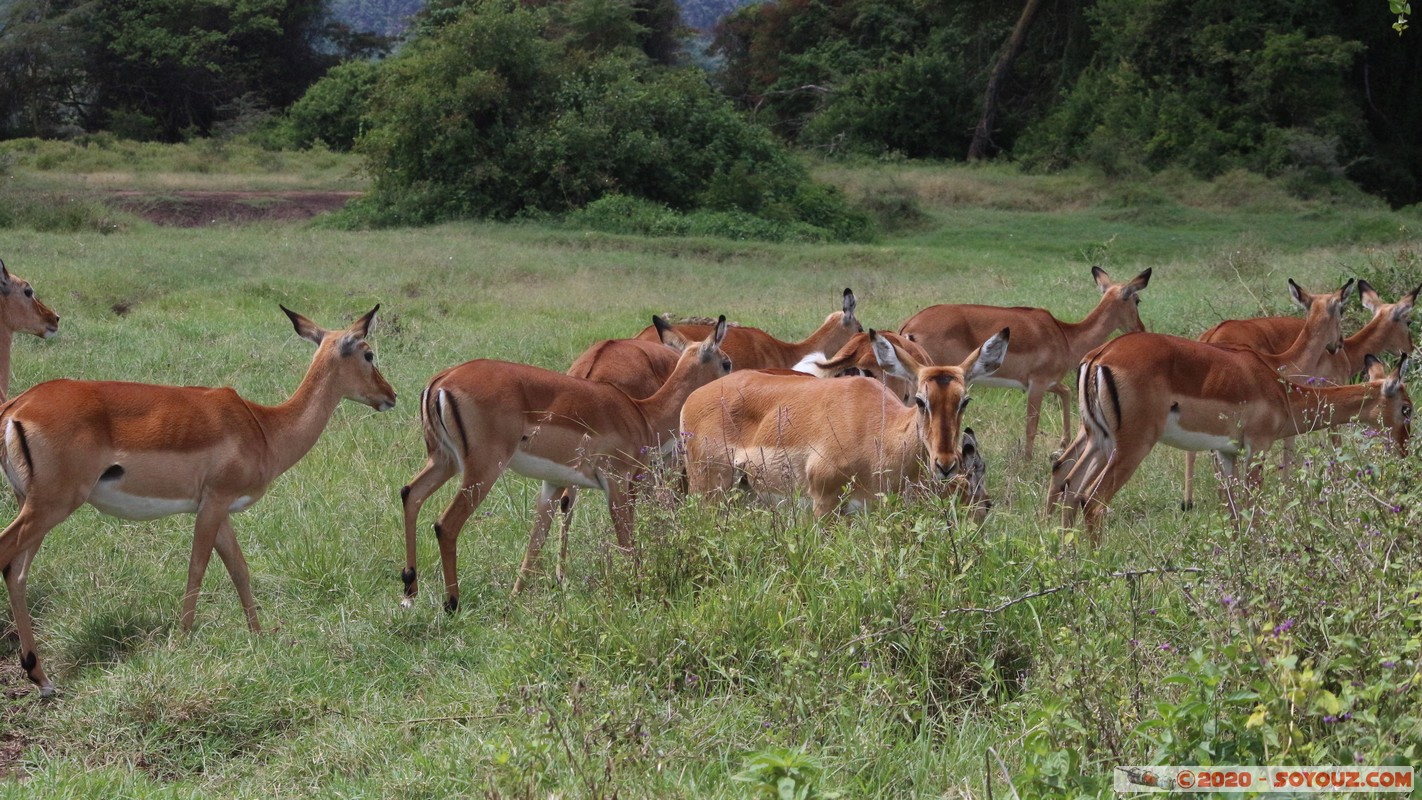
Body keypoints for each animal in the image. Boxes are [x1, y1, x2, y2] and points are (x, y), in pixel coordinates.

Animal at [0, 306, 396, 697]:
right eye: (368, 353)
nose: (390, 395)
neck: (264, 428)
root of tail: (16, 408)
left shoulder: (220, 510)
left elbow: (239, 569)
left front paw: (259, 635)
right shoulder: (214, 503)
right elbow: (198, 567)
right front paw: (182, 639)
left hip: (33, 506)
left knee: (16, 573)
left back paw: (41, 678)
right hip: (51, 506)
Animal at [399, 317, 730, 606]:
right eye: (726, 363)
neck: (643, 415)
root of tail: (441, 382)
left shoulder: (553, 484)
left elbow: (535, 543)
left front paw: (514, 600)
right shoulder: (617, 484)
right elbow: (627, 542)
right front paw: (640, 593)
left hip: (444, 460)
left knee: (410, 493)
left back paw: (409, 591)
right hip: (482, 469)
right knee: (445, 523)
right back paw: (451, 603)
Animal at [681, 328, 1008, 518]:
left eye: (964, 400)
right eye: (920, 400)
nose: (945, 463)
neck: (878, 433)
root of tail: (694, 398)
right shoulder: (824, 505)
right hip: (709, 492)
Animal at [899, 267, 1152, 460]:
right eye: (1137, 300)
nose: (1141, 329)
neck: (1066, 337)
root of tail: (908, 326)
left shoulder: (1047, 383)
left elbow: (1067, 392)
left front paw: (1061, 446)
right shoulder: (1037, 384)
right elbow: (1032, 425)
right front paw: (1027, 459)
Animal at [1047, 336, 1410, 540]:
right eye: (1407, 408)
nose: (1405, 452)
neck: (1279, 391)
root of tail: (1100, 357)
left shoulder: (1227, 453)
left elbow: (1234, 512)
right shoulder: (1257, 447)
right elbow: (1254, 508)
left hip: (1099, 440)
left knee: (1069, 486)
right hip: (1132, 446)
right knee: (1092, 502)